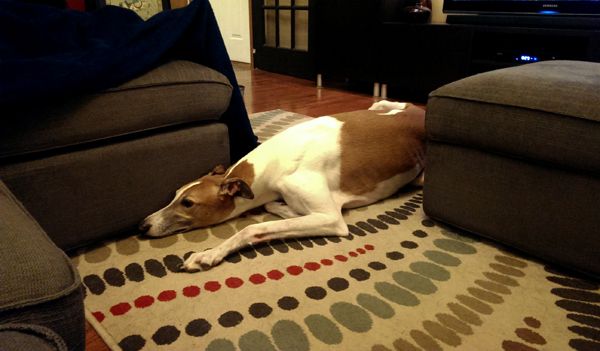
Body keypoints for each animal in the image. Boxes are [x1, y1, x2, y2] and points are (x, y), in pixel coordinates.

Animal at [138, 101, 424, 272]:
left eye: (188, 203)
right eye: (175, 194)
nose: (142, 226)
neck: (276, 161)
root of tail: (421, 112)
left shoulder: (332, 219)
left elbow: (254, 228)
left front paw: (209, 254)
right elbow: (274, 207)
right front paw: (285, 208)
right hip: (388, 106)